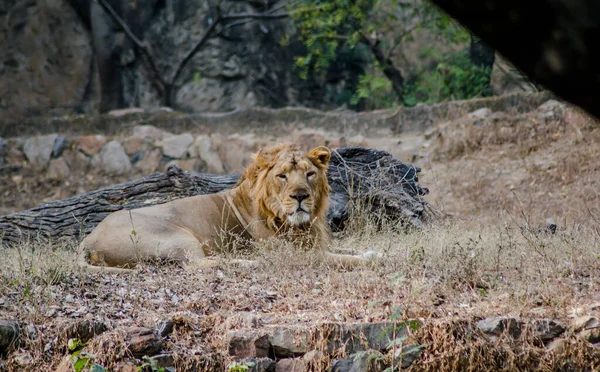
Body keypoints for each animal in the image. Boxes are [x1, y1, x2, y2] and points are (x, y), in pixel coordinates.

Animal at [74, 145, 376, 274]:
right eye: (282, 176)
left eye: (310, 174)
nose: (300, 195)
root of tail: (88, 239)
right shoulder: (301, 255)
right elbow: (344, 259)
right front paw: (377, 259)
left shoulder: (316, 245)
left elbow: (348, 250)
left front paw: (372, 251)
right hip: (176, 235)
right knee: (197, 264)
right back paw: (251, 262)